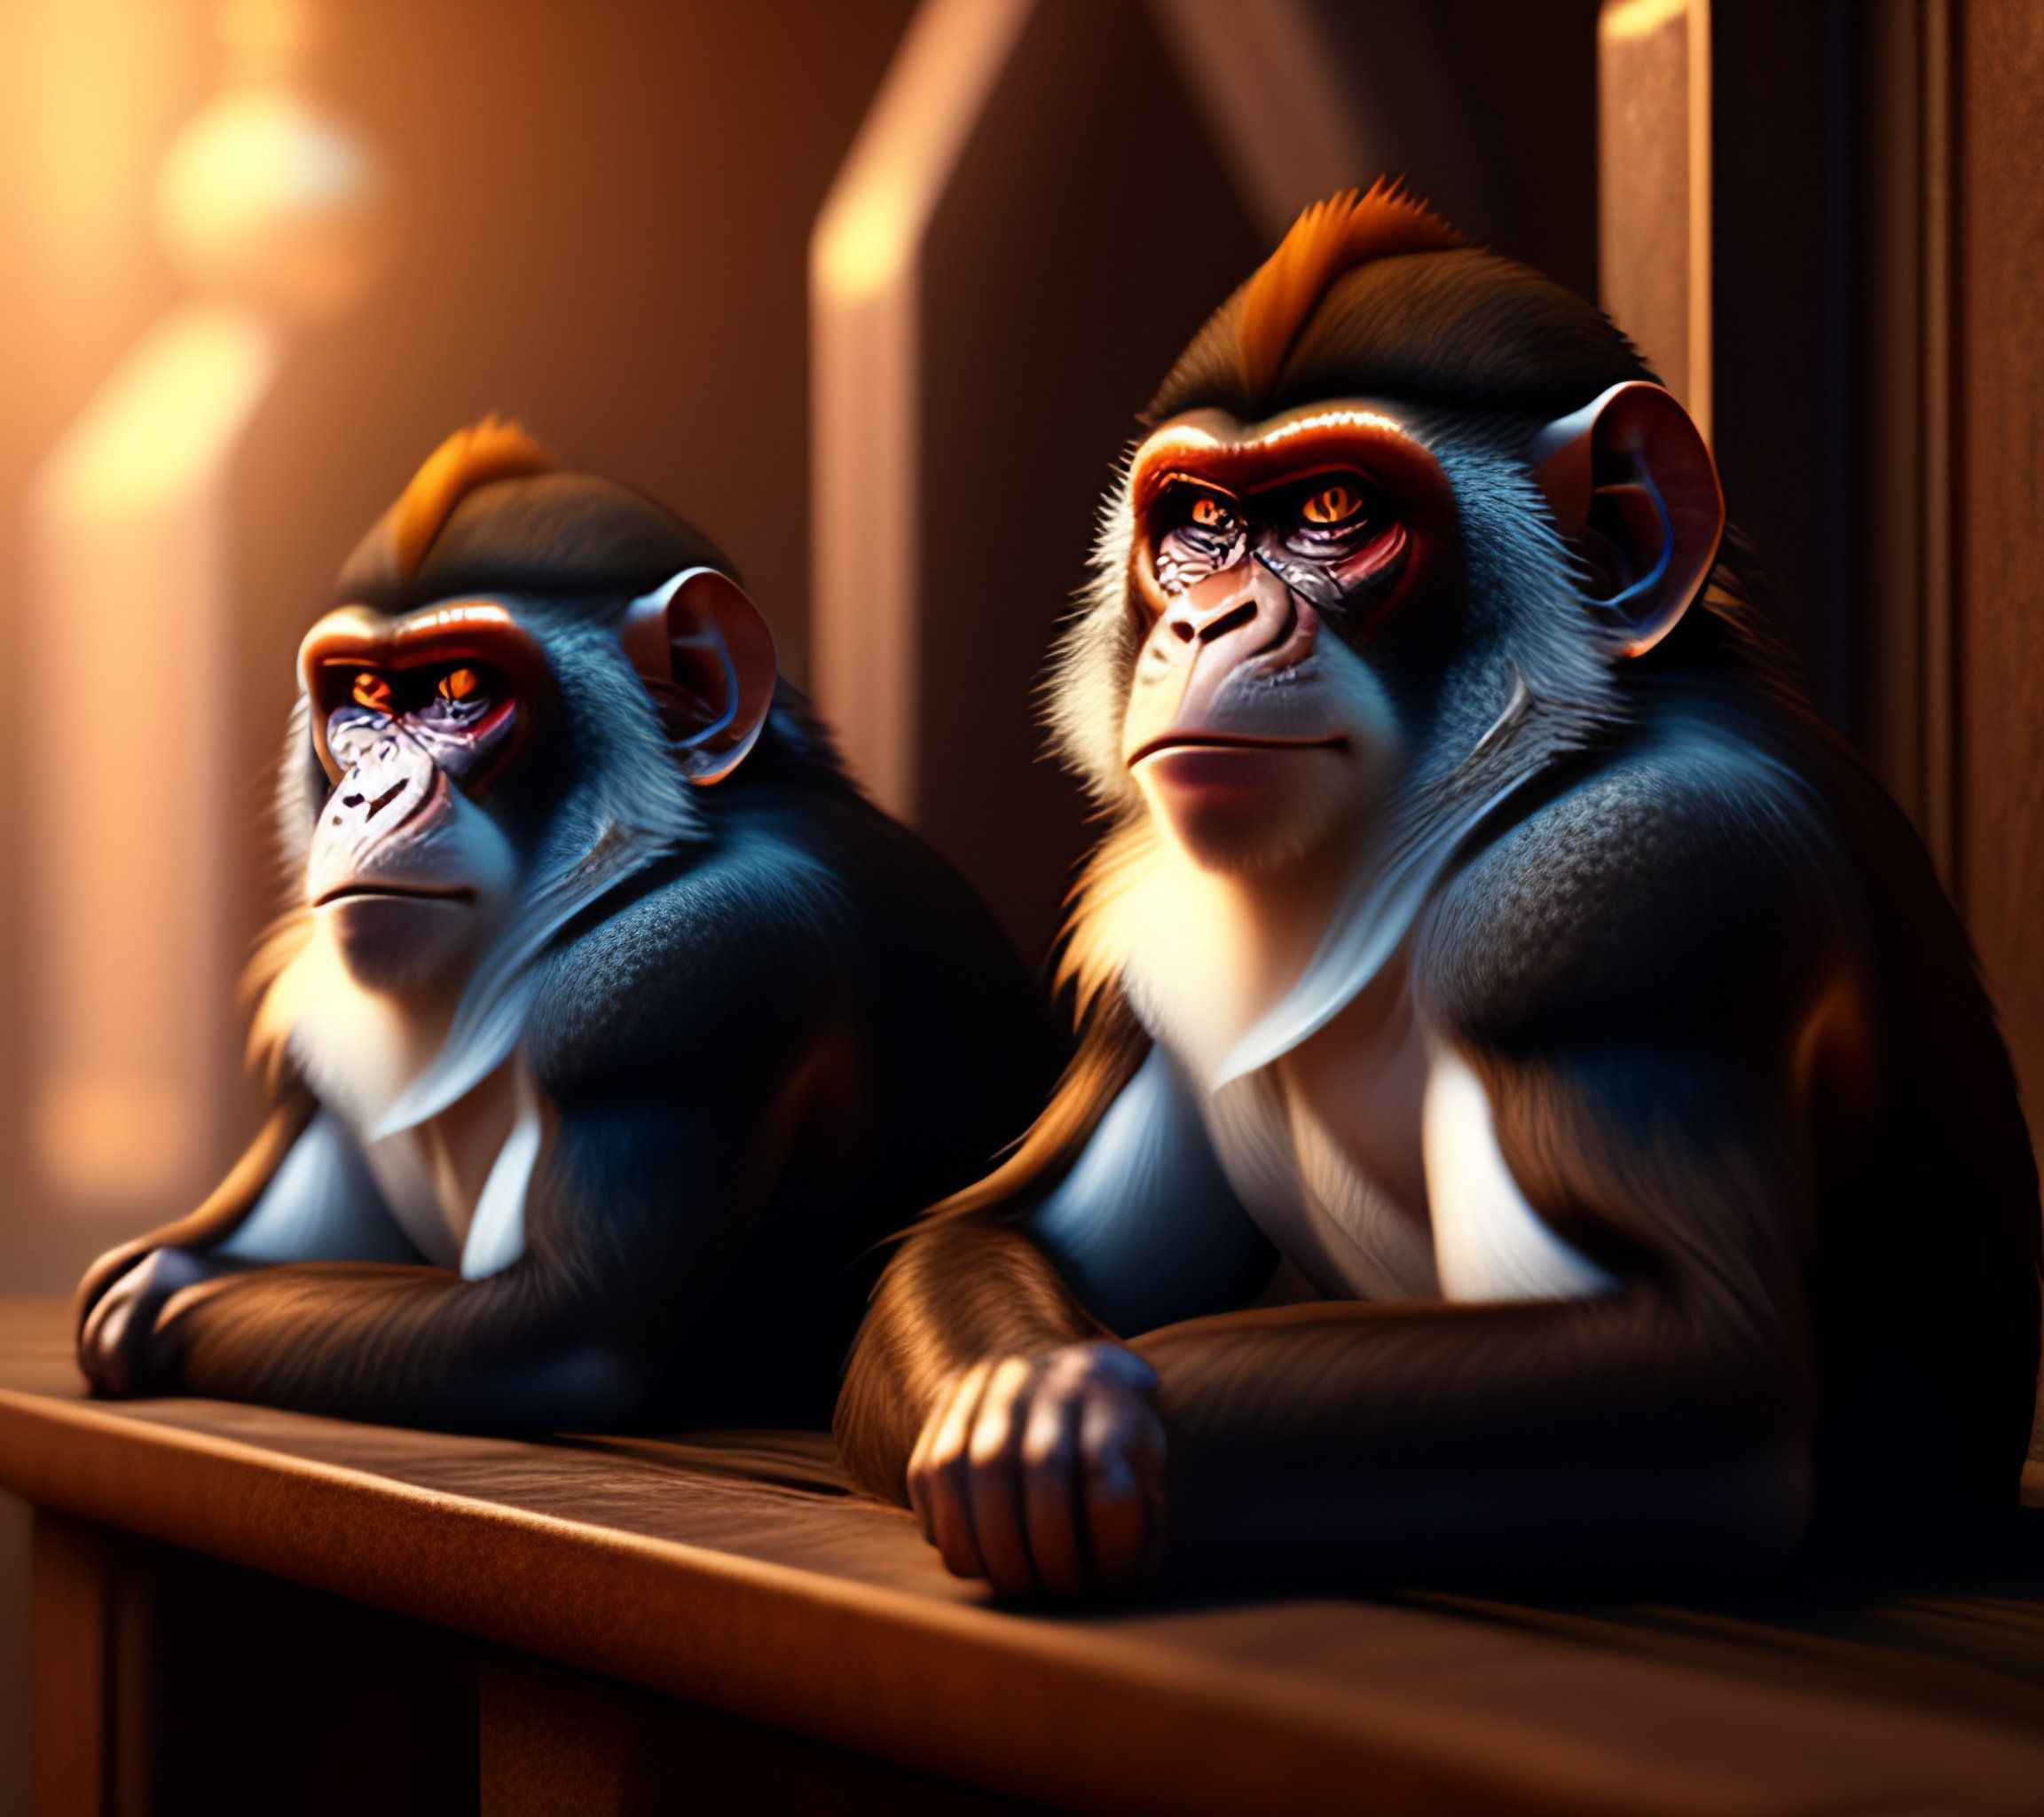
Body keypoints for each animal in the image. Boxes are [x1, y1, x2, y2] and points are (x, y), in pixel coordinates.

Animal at [75, 419, 1057, 1433]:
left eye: (459, 683)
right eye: (366, 697)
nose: (365, 793)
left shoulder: (675, 975)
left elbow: (553, 1331)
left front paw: (165, 1296)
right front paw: (165, 1267)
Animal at [834, 185, 2043, 1598]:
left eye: (1333, 506)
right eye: (1199, 523)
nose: (1206, 621)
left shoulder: (1624, 892)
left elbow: (1690, 1367)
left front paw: (1074, 1422)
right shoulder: (1148, 941)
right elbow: (998, 1230)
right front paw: (1029, 1393)